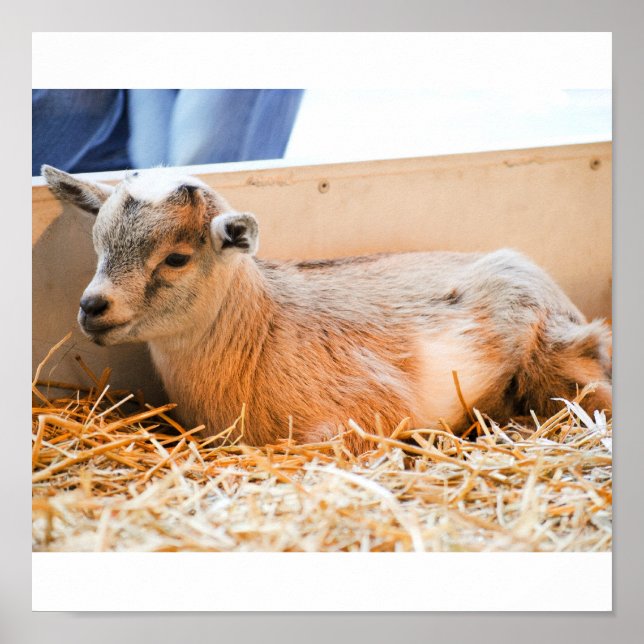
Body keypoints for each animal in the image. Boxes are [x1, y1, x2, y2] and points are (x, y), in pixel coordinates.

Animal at [42, 165, 612, 452]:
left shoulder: (362, 413)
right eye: (97, 241)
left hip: (557, 357)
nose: (92, 307)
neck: (259, 331)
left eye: (177, 258)